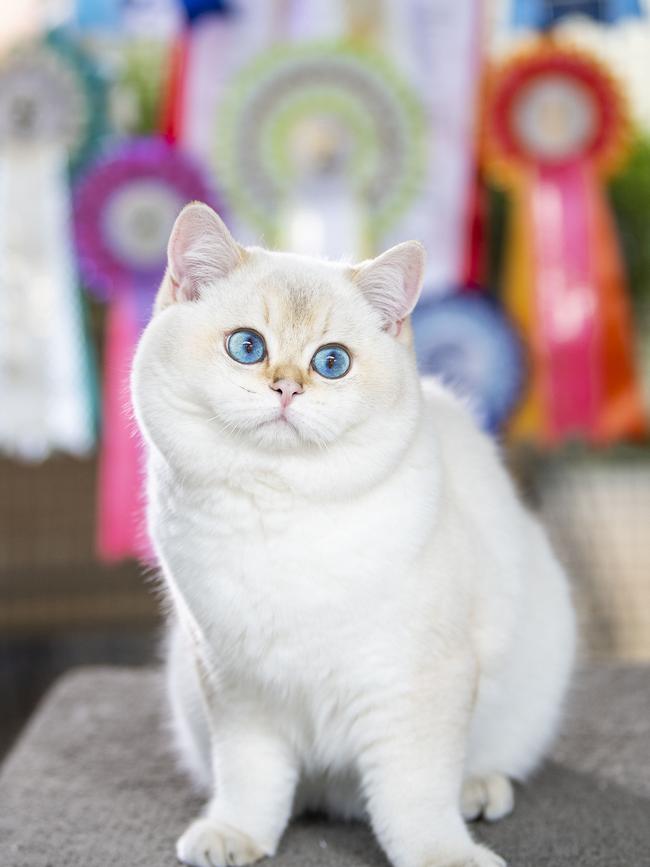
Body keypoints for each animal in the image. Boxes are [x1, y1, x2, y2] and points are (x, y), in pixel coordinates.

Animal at [130, 202, 572, 867]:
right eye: (247, 347)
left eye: (330, 362)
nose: (287, 387)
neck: (280, 510)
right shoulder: (235, 685)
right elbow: (251, 778)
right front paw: (237, 835)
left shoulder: (417, 680)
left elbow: (414, 795)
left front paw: (444, 854)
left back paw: (477, 790)